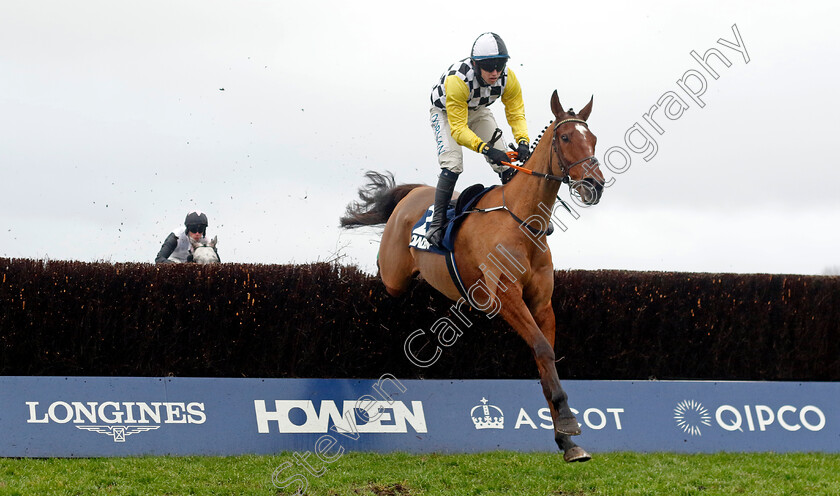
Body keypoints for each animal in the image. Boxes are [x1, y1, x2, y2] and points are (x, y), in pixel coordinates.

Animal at [342, 91, 604, 464]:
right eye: (566, 137)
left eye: (593, 138)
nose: (595, 185)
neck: (522, 222)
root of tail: (413, 194)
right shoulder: (505, 297)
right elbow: (542, 348)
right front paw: (568, 422)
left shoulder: (542, 302)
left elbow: (546, 359)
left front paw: (566, 441)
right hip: (394, 276)